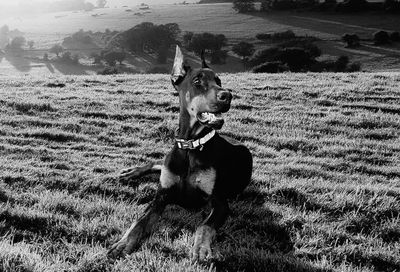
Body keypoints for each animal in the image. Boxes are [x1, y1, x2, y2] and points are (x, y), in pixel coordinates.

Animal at [108, 45, 252, 260]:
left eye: (218, 81)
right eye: (197, 81)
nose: (227, 95)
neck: (190, 146)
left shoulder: (220, 203)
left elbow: (204, 226)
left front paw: (201, 248)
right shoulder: (161, 196)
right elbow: (140, 221)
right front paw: (123, 242)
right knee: (159, 163)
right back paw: (132, 172)